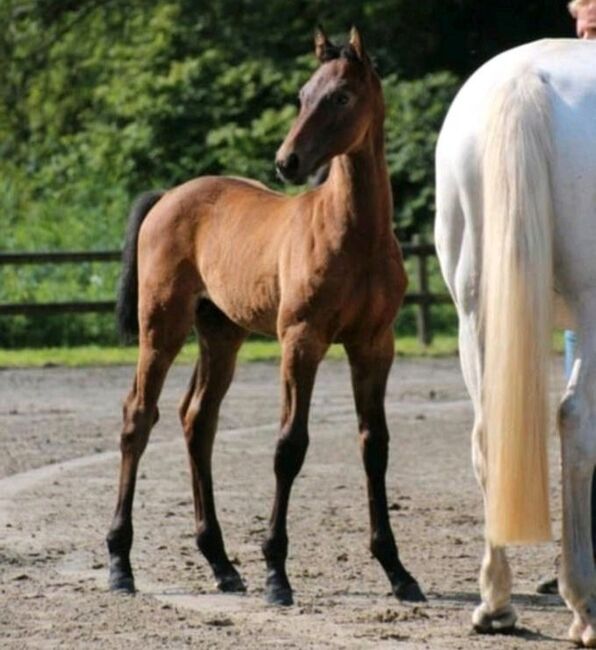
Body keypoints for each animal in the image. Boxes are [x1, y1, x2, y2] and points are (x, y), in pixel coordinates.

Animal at [106, 27, 425, 607]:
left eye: (340, 97)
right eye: (301, 95)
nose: (287, 161)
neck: (356, 235)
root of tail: (169, 196)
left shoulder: (374, 344)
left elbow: (375, 445)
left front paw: (397, 571)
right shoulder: (301, 340)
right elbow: (289, 446)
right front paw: (277, 572)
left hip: (220, 334)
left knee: (197, 420)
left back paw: (221, 564)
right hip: (161, 327)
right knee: (139, 415)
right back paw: (121, 563)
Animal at [435, 38, 596, 645]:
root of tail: (525, 79)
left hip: (473, 310)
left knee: (487, 434)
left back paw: (496, 604)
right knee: (575, 420)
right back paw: (584, 605)